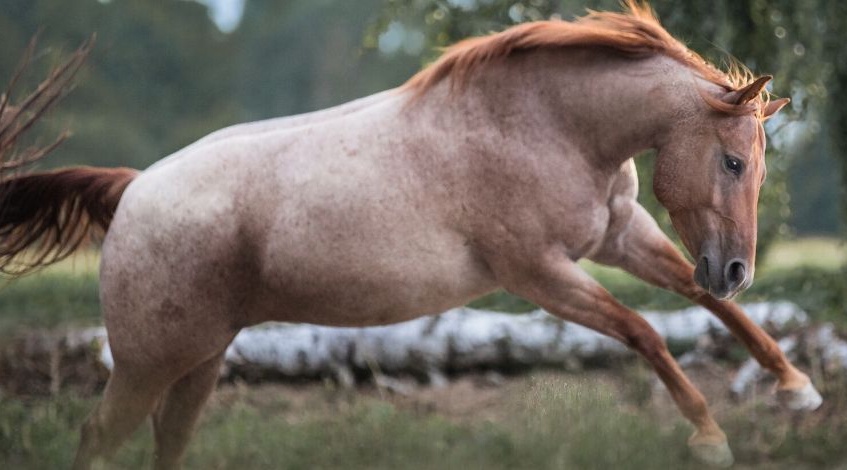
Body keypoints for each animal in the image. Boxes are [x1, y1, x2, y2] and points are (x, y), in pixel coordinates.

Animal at [0, 2, 821, 468]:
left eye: (757, 166)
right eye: (733, 160)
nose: (738, 268)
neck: (546, 123)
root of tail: (133, 190)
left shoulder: (620, 235)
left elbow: (693, 298)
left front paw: (795, 386)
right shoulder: (538, 274)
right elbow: (643, 331)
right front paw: (710, 437)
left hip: (197, 363)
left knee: (166, 445)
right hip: (147, 364)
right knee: (95, 439)